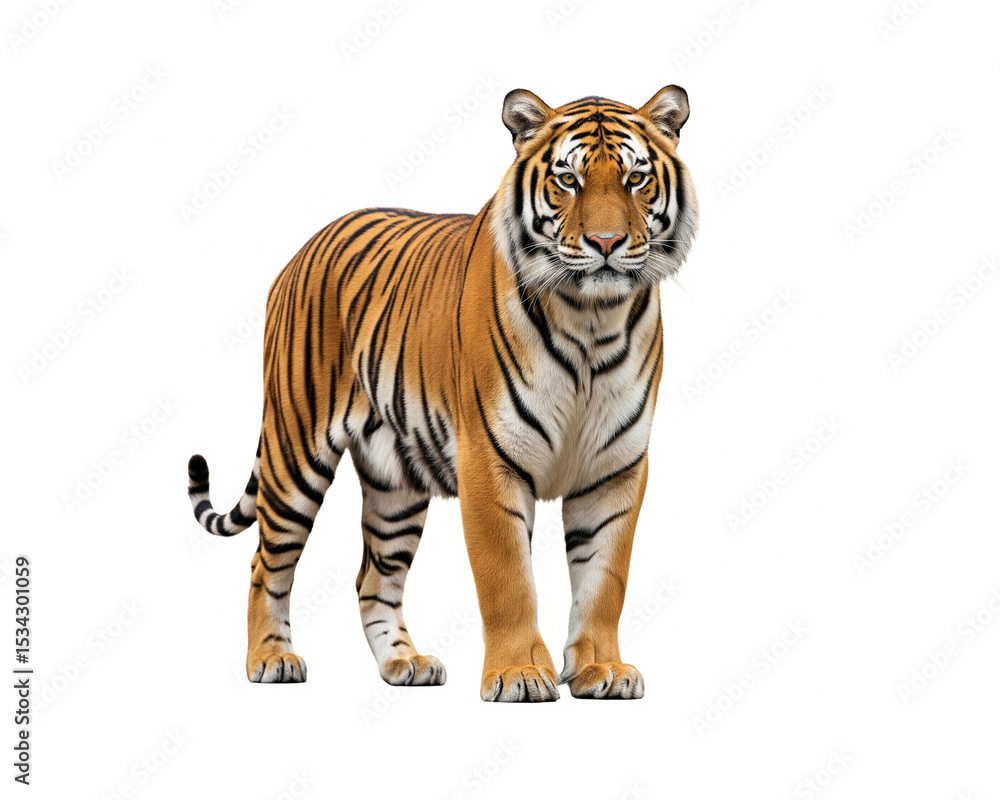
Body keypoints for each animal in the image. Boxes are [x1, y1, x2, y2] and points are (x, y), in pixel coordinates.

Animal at [187, 85, 698, 701]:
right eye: (568, 180)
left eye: (635, 179)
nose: (605, 242)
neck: (590, 319)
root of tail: (302, 250)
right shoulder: (490, 460)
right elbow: (508, 579)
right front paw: (519, 675)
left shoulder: (615, 469)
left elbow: (605, 581)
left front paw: (603, 671)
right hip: (294, 453)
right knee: (266, 563)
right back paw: (271, 660)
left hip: (395, 484)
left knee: (373, 577)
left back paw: (404, 664)